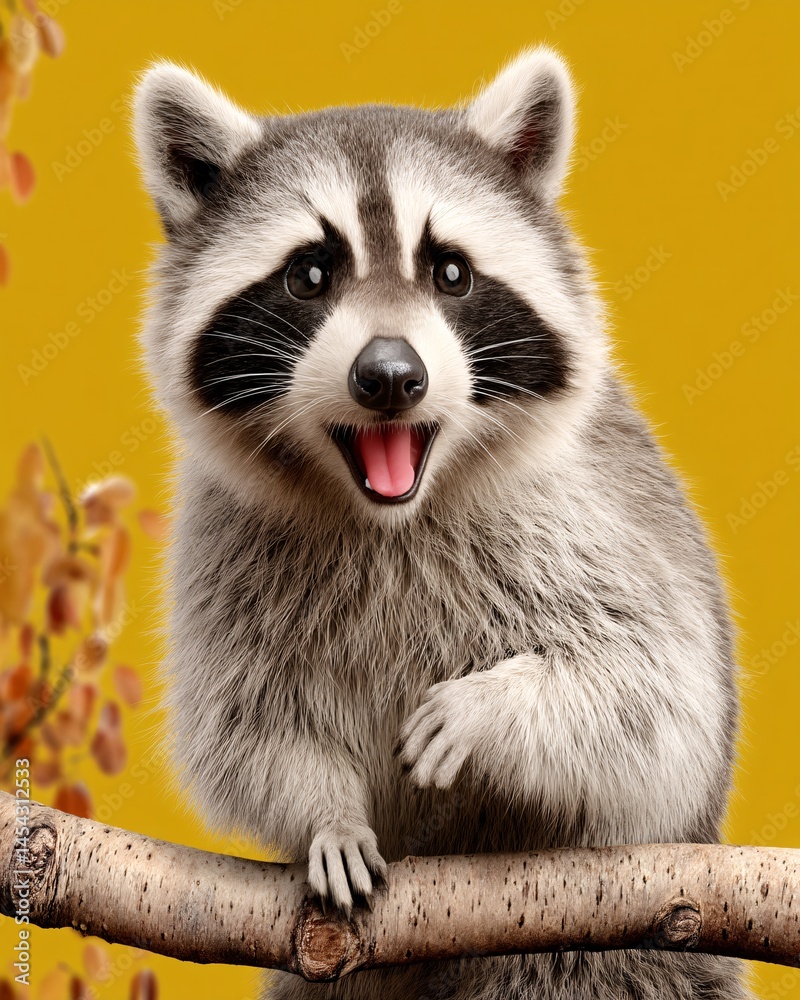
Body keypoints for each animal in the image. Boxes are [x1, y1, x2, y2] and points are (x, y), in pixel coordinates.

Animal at [133, 48, 751, 1000]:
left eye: (450, 272)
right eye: (311, 275)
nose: (390, 375)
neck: (389, 514)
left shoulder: (590, 516)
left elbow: (657, 698)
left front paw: (495, 707)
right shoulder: (222, 549)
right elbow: (242, 724)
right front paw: (325, 810)